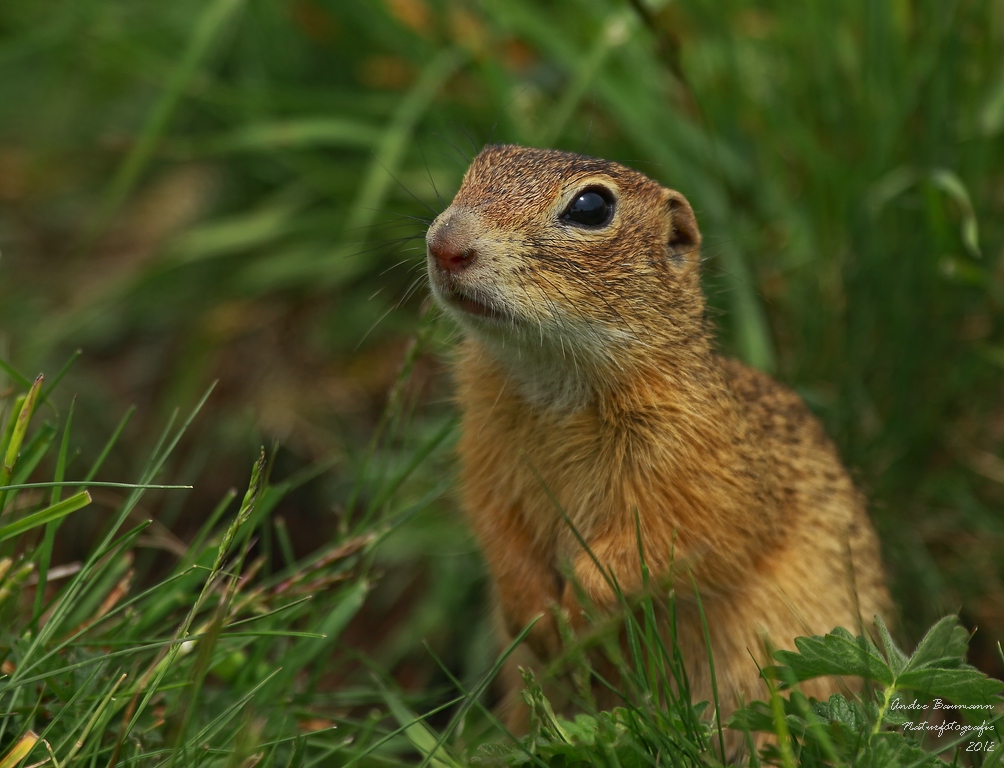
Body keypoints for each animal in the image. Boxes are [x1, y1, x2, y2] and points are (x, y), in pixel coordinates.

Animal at [423, 142, 895, 742]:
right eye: (478, 166)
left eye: (592, 207)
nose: (445, 245)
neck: (553, 379)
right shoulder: (486, 455)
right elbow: (497, 530)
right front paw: (534, 614)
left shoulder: (696, 471)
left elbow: (661, 546)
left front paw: (579, 615)